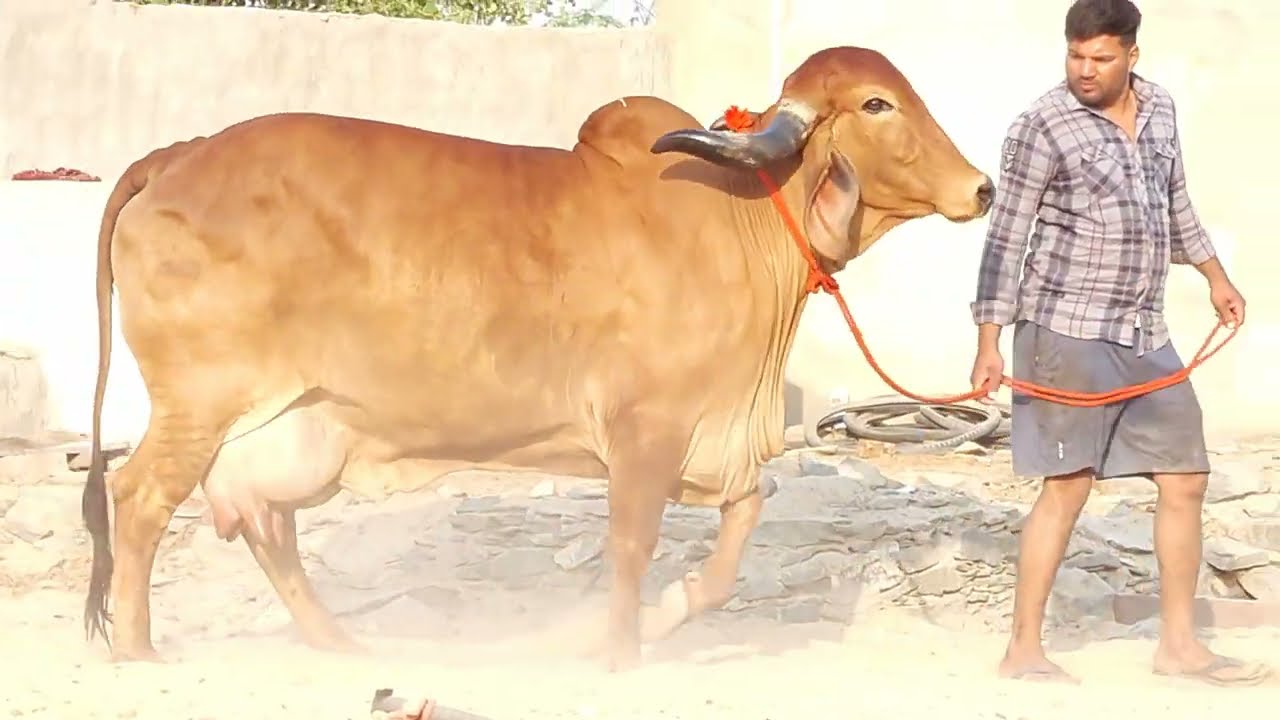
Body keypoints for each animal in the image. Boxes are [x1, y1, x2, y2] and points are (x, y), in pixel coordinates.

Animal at [80, 46, 993, 671]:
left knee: (267, 525)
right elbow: (631, 546)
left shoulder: (720, 442)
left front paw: (660, 618)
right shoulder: (645, 434)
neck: (740, 217)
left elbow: (734, 539)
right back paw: (137, 650)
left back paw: (338, 643)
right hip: (199, 406)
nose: (981, 188)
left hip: (299, 427)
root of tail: (179, 154)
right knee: (138, 499)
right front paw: (618, 651)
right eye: (877, 102)